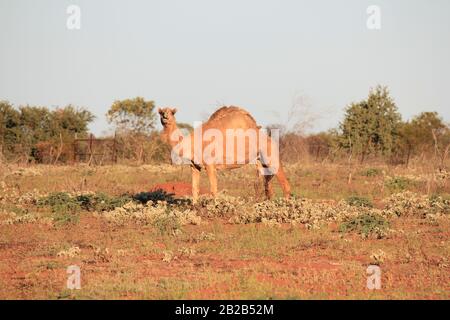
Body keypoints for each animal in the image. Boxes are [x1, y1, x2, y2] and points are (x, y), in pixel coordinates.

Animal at [159, 106, 292, 204]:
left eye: (172, 112)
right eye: (160, 112)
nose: (165, 116)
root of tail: (271, 139)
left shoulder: (210, 165)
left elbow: (213, 189)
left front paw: (215, 208)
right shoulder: (194, 166)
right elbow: (194, 189)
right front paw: (194, 207)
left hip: (271, 157)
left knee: (285, 184)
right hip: (261, 161)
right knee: (268, 185)